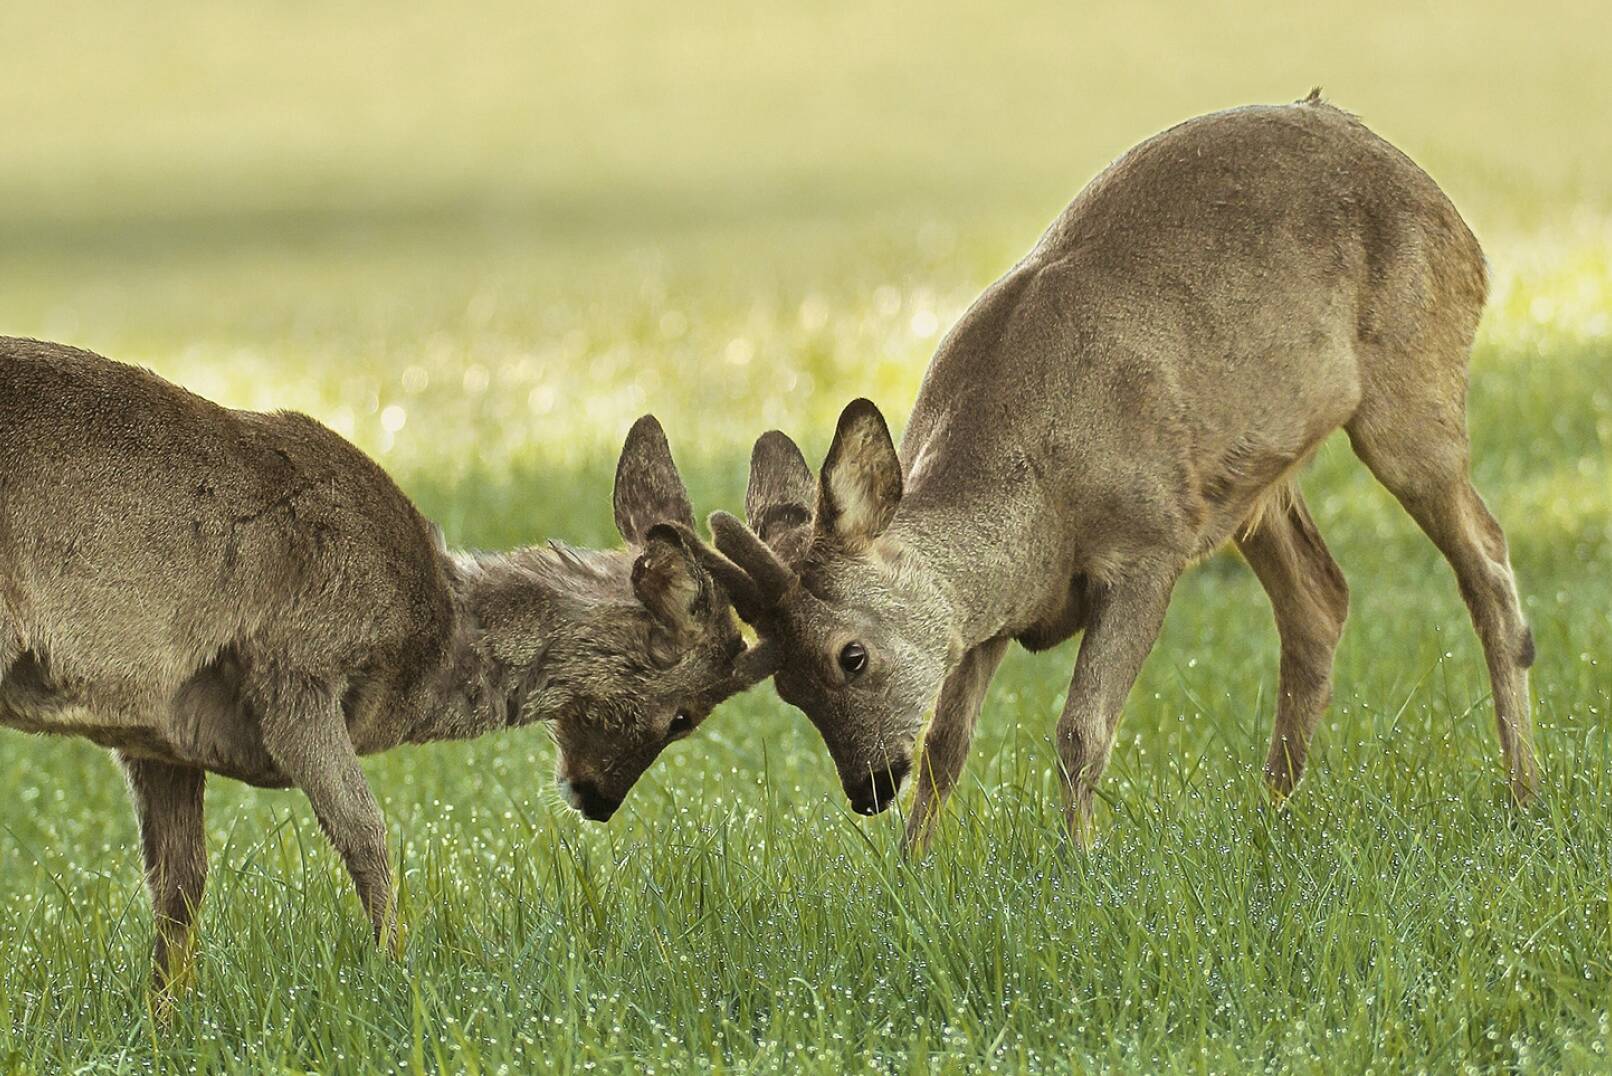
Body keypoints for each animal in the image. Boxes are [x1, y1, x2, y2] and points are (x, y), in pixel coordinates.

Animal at [0, 340, 780, 987]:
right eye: (684, 716)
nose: (596, 801)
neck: (431, 647)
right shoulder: (295, 665)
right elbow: (365, 834)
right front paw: (399, 977)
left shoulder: (156, 734)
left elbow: (178, 886)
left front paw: (168, 1020)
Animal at [702, 92, 1534, 851]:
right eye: (782, 683)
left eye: (852, 655)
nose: (868, 788)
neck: (1032, 501)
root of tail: (1455, 218)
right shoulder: (987, 612)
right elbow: (946, 747)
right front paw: (912, 875)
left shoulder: (1148, 541)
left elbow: (1081, 729)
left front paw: (1081, 864)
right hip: (1249, 479)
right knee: (1321, 598)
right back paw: (1270, 820)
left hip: (1412, 383)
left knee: (1486, 555)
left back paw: (1523, 793)